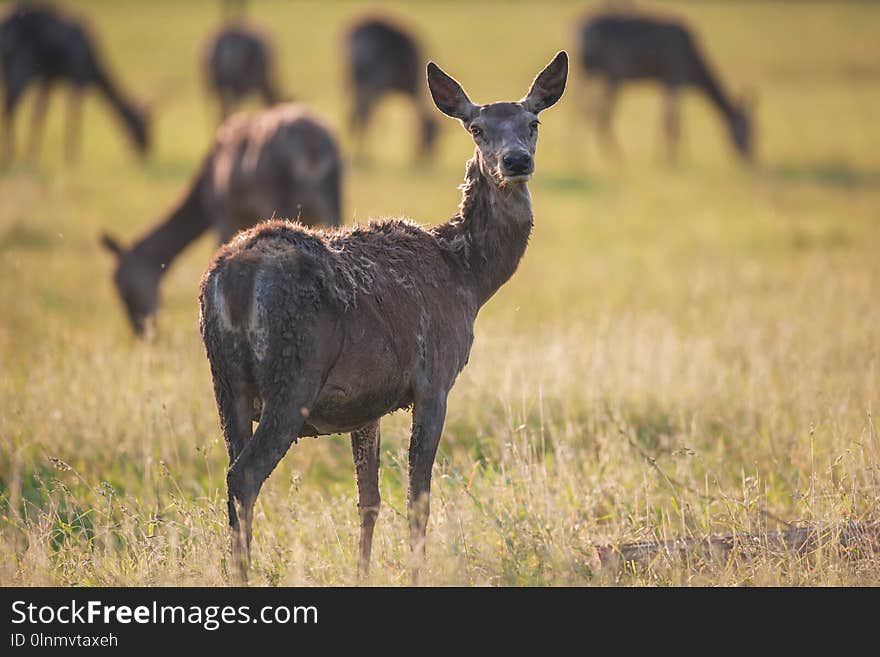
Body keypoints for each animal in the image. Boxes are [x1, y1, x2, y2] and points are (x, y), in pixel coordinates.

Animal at [0, 1, 150, 163]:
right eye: (141, 124)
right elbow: (73, 115)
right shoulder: (79, 78)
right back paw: (11, 154)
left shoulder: (49, 78)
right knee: (9, 107)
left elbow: (39, 114)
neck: (94, 69)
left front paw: (32, 155)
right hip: (21, 68)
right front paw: (72, 158)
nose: (147, 149)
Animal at [99, 105, 340, 338]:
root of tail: (314, 148)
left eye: (123, 288)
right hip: (333, 195)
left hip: (276, 196)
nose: (141, 330)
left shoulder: (222, 213)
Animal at [198, 52, 572, 584]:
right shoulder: (435, 380)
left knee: (232, 469)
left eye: (532, 122)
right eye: (477, 128)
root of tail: (234, 279)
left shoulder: (366, 402)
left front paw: (363, 571)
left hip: (224, 382)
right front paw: (415, 572)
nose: (516, 161)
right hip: (292, 380)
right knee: (243, 475)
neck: (467, 275)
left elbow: (369, 500)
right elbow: (419, 498)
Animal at [346, 17, 438, 161]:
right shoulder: (383, 85)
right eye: (431, 134)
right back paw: (362, 154)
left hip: (350, 76)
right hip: (376, 77)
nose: (427, 157)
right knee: (364, 112)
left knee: (353, 111)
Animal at [576, 11, 756, 161]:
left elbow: (665, 119)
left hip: (589, 73)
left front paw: (665, 156)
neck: (693, 69)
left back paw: (582, 154)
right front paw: (672, 159)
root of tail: (580, 31)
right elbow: (671, 121)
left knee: (585, 111)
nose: (751, 158)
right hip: (614, 74)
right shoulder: (675, 77)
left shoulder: (666, 82)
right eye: (750, 130)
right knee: (601, 115)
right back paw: (615, 157)